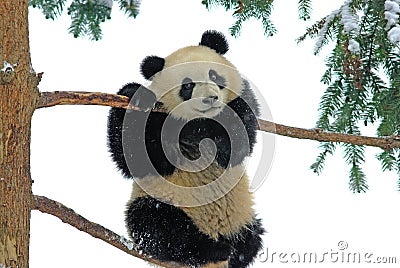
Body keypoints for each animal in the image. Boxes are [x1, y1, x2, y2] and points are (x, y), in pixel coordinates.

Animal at [108, 30, 266, 266]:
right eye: (187, 86)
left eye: (214, 76)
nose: (210, 99)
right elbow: (138, 158)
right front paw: (135, 94)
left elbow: (237, 145)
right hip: (163, 203)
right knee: (156, 225)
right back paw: (210, 249)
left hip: (243, 215)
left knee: (253, 238)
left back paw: (234, 250)